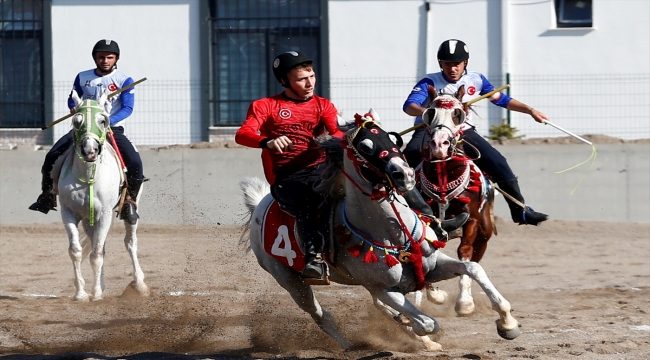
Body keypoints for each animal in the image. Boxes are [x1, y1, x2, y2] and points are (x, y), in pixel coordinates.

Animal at [52, 92, 148, 300]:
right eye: (76, 121)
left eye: (103, 120)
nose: (90, 151)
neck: (88, 175)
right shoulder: (68, 213)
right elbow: (77, 251)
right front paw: (81, 293)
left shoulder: (105, 214)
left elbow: (96, 255)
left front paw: (95, 294)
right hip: (89, 220)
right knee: (98, 245)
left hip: (129, 211)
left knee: (130, 242)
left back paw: (139, 285)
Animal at [238, 110, 516, 352]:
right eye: (365, 146)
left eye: (392, 139)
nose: (404, 173)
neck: (392, 233)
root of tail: (259, 204)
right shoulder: (382, 287)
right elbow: (426, 322)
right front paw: (418, 327)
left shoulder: (432, 267)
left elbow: (473, 268)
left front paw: (507, 323)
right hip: (290, 280)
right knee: (321, 315)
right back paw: (350, 345)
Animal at [412, 85, 494, 316]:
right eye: (430, 113)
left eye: (458, 114)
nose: (439, 145)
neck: (443, 179)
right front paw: (434, 293)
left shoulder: (471, 219)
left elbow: (464, 252)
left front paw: (464, 302)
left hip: (484, 234)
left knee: (475, 256)